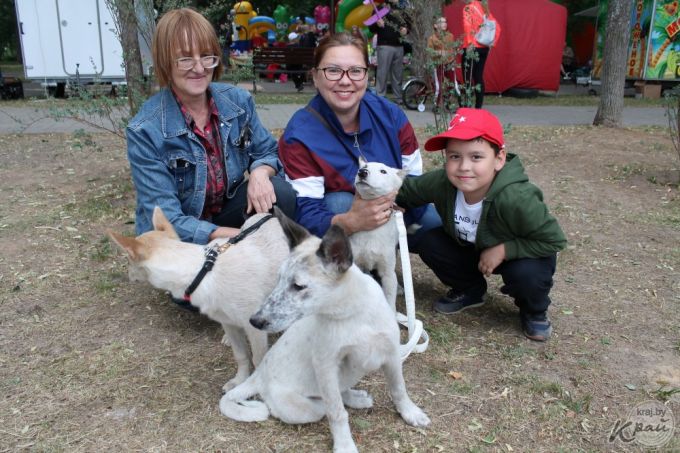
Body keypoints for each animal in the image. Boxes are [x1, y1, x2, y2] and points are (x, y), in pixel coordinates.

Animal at [108, 206, 289, 390]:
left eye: (128, 260)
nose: (128, 276)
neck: (202, 271)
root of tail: (269, 215)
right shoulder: (227, 322)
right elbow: (241, 355)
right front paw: (239, 380)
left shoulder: (255, 330)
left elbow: (258, 361)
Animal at [219, 208, 430, 453]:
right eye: (278, 279)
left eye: (298, 286)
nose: (255, 321)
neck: (353, 316)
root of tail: (258, 375)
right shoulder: (326, 366)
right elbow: (337, 412)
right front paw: (345, 445)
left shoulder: (392, 354)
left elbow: (399, 388)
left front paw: (410, 413)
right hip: (308, 406)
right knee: (326, 404)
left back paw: (356, 397)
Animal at [351, 157, 407, 311]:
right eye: (364, 166)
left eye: (383, 171)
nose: (362, 172)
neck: (372, 231)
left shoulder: (387, 272)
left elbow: (390, 299)